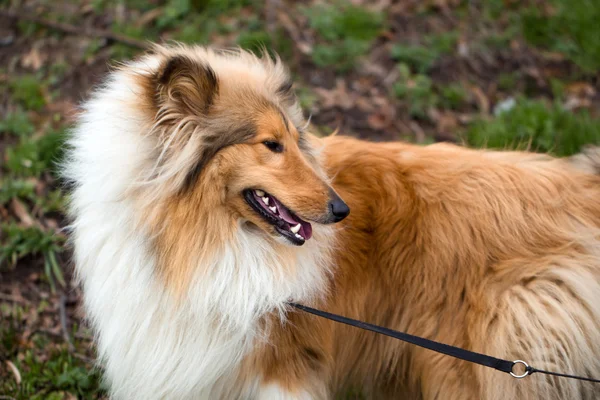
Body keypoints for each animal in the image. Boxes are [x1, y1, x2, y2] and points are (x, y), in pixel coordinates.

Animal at [65, 44, 600, 400]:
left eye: (290, 140)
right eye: (271, 144)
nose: (342, 211)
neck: (193, 235)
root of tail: (583, 191)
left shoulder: (281, 369)